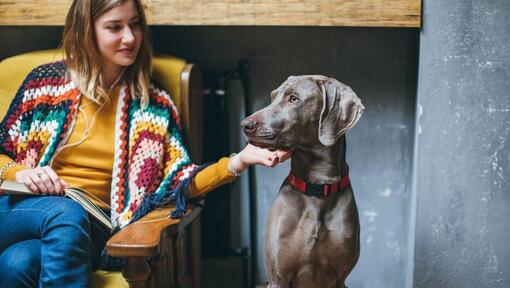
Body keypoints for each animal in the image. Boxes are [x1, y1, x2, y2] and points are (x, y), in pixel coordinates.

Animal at [242, 75, 364, 286]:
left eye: (293, 99)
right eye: (272, 97)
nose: (245, 125)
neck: (317, 187)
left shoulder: (339, 279)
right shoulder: (278, 278)